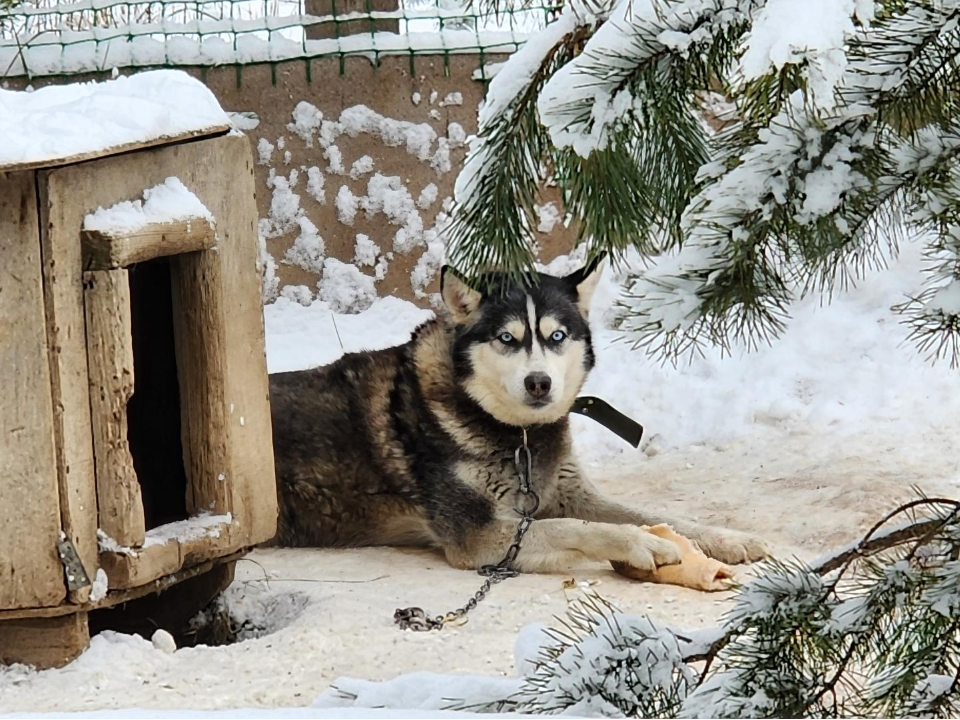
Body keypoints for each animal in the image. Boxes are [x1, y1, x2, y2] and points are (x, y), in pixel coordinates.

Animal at [270, 262, 772, 572]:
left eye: (556, 336)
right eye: (507, 339)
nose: (539, 383)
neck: (519, 437)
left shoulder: (569, 492)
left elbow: (658, 514)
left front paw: (726, 538)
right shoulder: (480, 537)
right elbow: (576, 527)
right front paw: (640, 542)